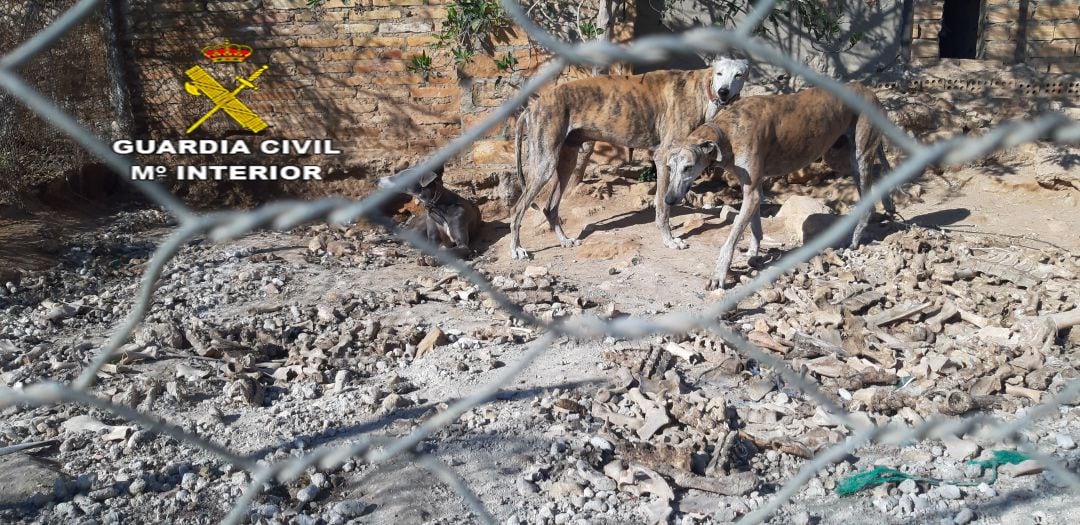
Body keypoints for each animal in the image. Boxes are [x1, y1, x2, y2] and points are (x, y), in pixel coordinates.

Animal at [507, 58, 747, 259]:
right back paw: (517, 249)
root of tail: (532, 106)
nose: (724, 92)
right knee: (517, 209)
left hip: (566, 162)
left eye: (739, 74)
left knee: (550, 207)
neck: (702, 89)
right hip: (545, 165)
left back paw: (565, 240)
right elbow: (663, 208)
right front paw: (670, 241)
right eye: (719, 73)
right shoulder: (663, 159)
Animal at [660, 84, 898, 293]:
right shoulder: (752, 189)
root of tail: (870, 92)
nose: (669, 200)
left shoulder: (752, 192)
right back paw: (888, 204)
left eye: (688, 167)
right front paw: (753, 254)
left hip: (859, 155)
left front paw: (719, 274)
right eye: (670, 167)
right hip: (839, 157)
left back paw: (855, 240)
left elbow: (731, 239)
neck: (728, 132)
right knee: (879, 172)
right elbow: (755, 227)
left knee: (869, 202)